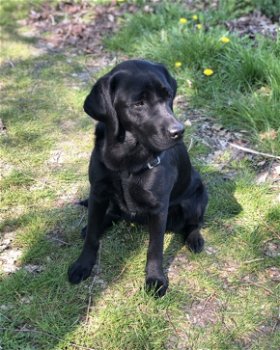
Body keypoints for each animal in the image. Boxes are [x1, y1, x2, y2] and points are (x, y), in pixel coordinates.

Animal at [68, 60, 208, 296]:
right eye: (139, 103)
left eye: (168, 96)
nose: (179, 131)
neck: (125, 159)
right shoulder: (97, 192)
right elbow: (91, 238)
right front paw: (83, 264)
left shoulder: (158, 208)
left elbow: (155, 248)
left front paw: (155, 278)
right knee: (112, 214)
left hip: (197, 197)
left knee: (193, 223)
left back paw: (194, 238)